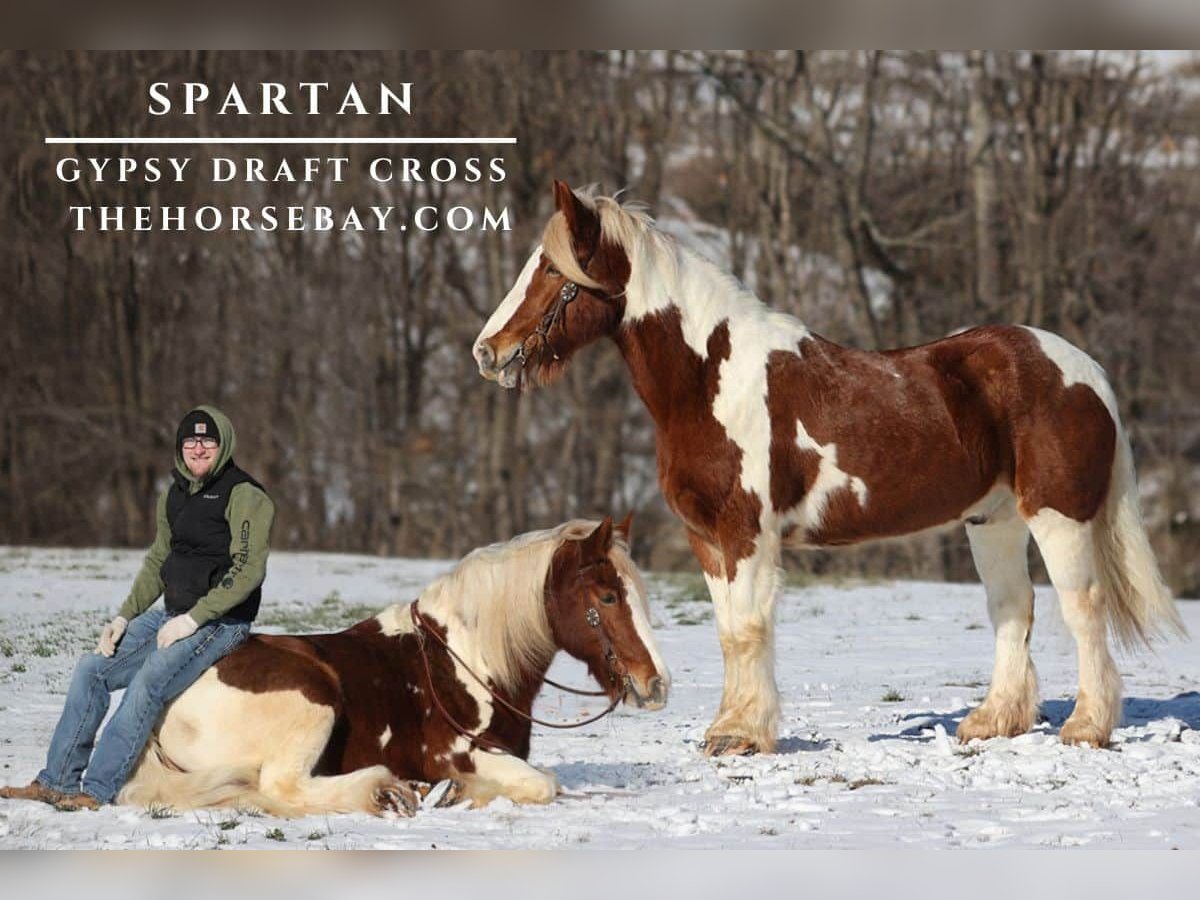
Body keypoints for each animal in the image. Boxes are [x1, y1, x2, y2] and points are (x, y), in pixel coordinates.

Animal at [118, 513, 672, 816]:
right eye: (607, 595)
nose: (656, 684)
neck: (470, 662)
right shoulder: (463, 754)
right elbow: (542, 784)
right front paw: (455, 792)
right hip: (314, 697)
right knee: (284, 787)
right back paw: (386, 791)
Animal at [472, 180, 1185, 758]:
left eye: (551, 270)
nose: (488, 351)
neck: (708, 379)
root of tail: (1086, 370)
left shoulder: (747, 534)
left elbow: (749, 629)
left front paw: (744, 736)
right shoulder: (708, 539)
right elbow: (728, 632)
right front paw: (726, 731)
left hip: (1057, 515)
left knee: (1082, 607)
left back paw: (1087, 727)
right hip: (994, 521)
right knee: (1014, 607)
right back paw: (991, 723)